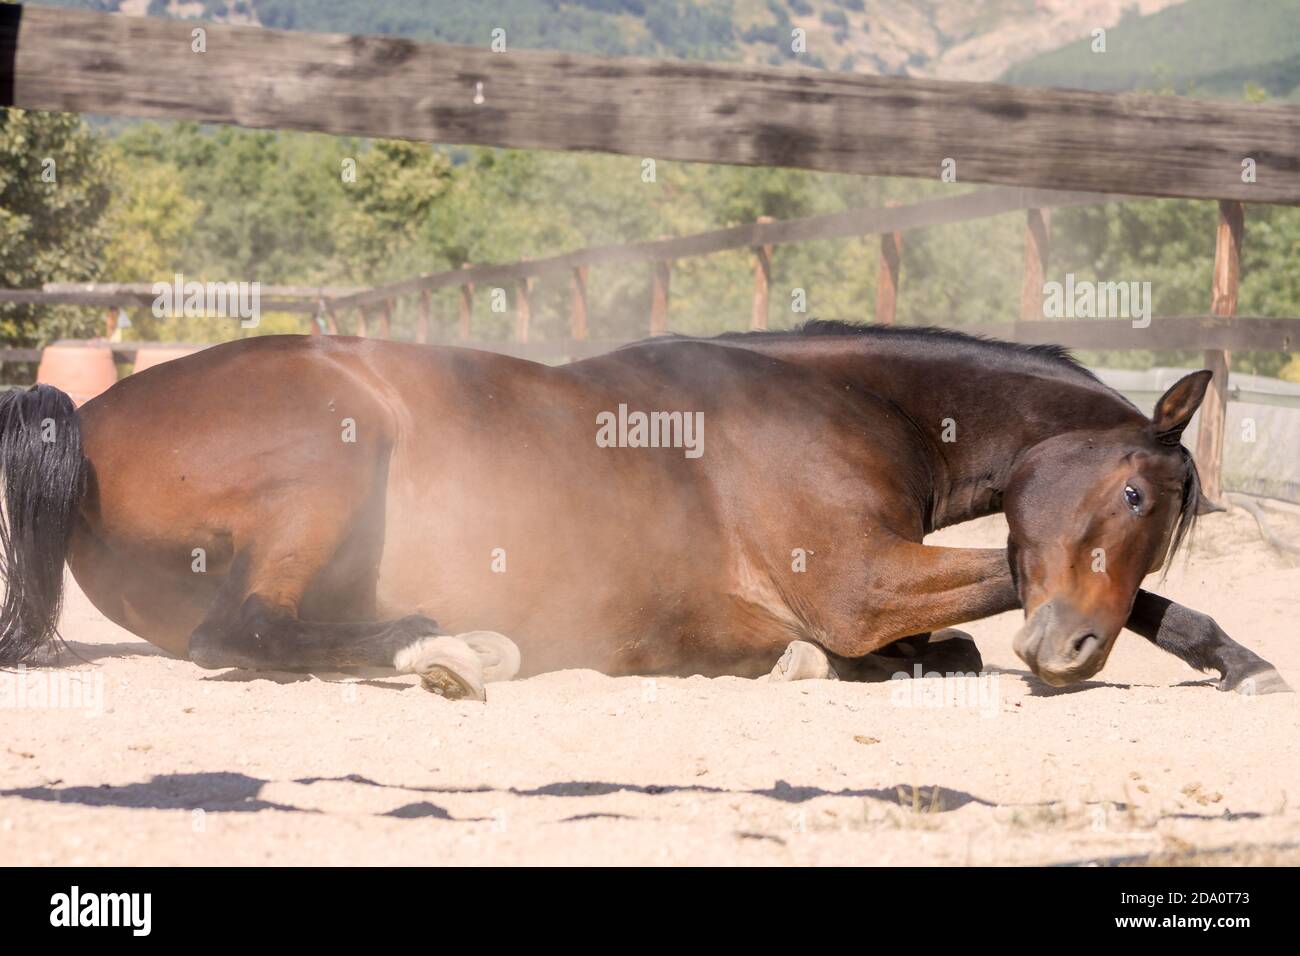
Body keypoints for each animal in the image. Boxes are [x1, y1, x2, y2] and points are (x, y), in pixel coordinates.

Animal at [0, 322, 1287, 699]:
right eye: (1131, 489)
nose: (1063, 651)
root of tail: (90, 417)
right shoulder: (856, 581)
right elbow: (1005, 577)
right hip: (331, 444)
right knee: (245, 634)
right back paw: (447, 647)